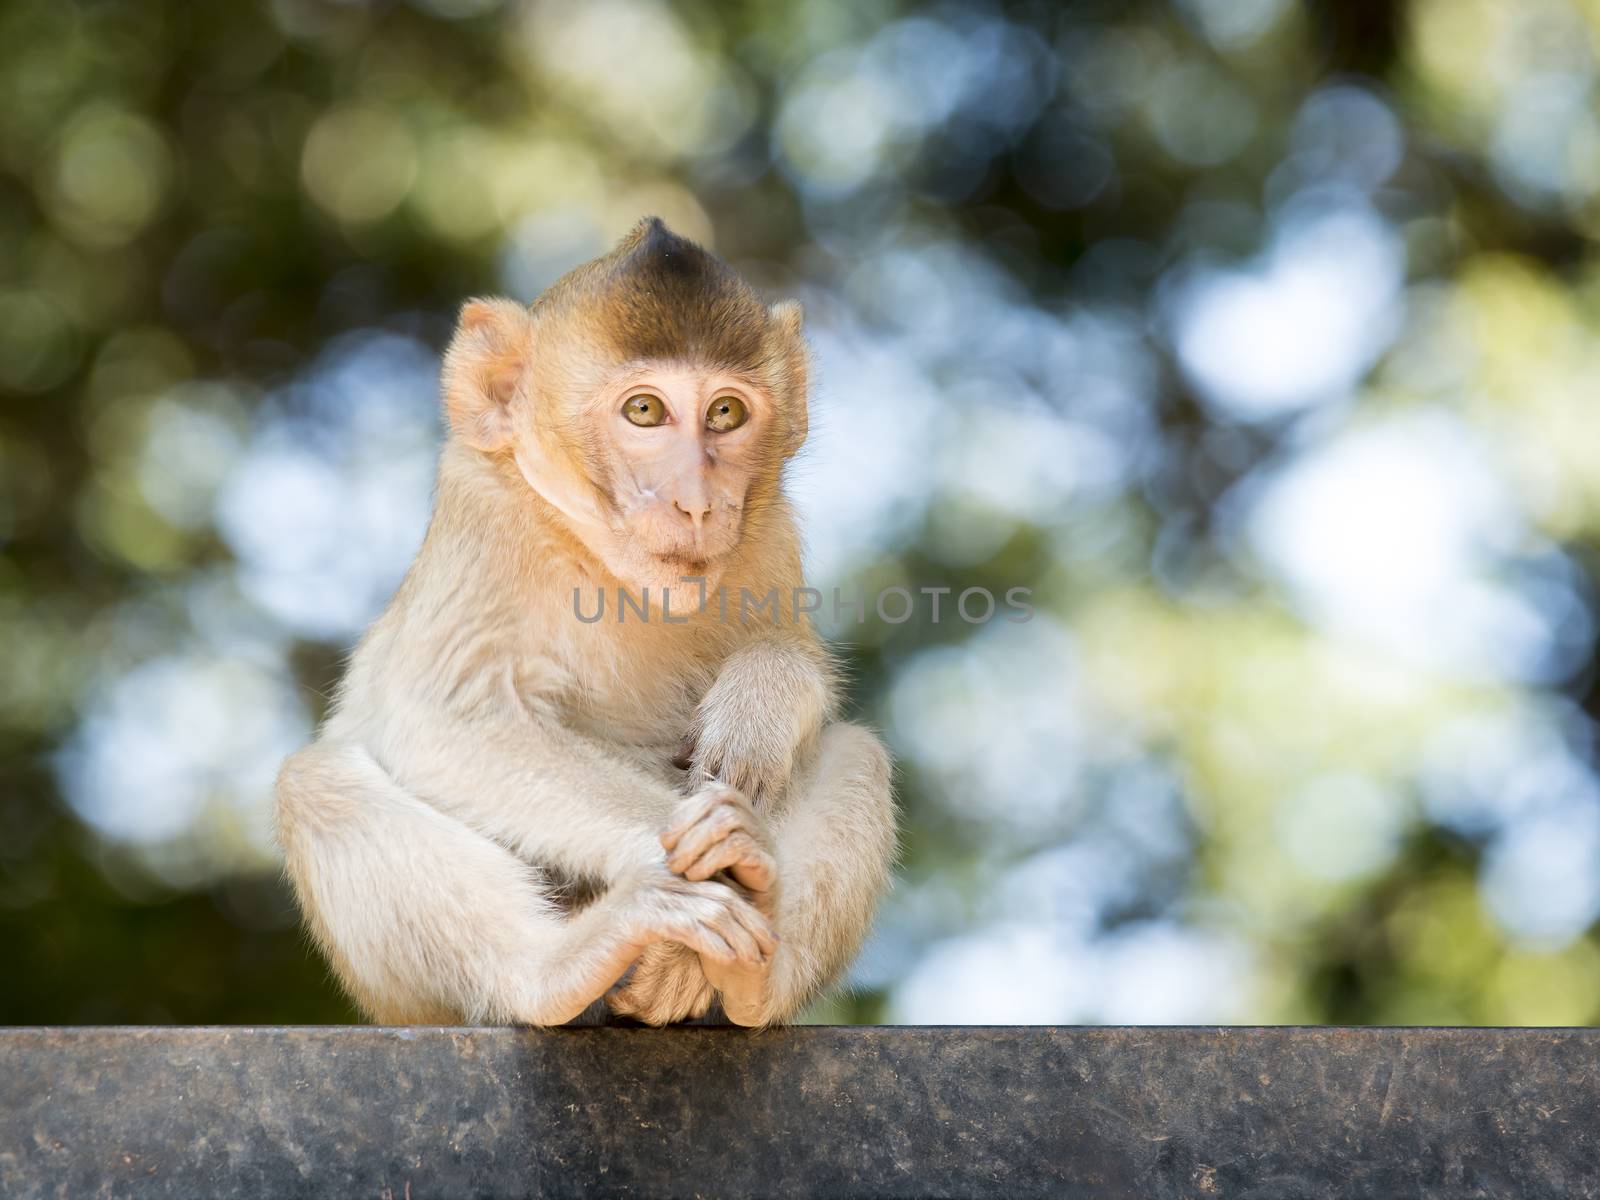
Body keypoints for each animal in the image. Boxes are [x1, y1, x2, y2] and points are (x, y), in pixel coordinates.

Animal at [275, 216, 902, 1024]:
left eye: (725, 413)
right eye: (645, 411)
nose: (699, 503)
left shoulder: (768, 534)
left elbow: (789, 651)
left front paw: (759, 706)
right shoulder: (485, 518)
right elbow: (445, 718)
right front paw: (713, 852)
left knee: (858, 753)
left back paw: (751, 985)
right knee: (314, 783)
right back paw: (564, 964)